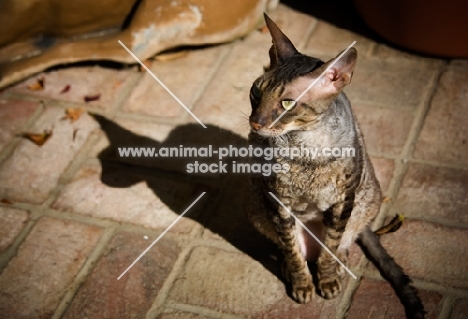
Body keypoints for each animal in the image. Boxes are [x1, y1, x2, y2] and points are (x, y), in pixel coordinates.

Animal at [247, 13, 426, 319]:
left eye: (287, 103)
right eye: (255, 93)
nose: (256, 123)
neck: (304, 148)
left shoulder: (343, 200)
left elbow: (330, 247)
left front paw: (327, 280)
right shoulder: (276, 201)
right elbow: (292, 250)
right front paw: (302, 284)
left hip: (367, 198)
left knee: (345, 239)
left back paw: (339, 263)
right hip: (258, 207)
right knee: (290, 247)